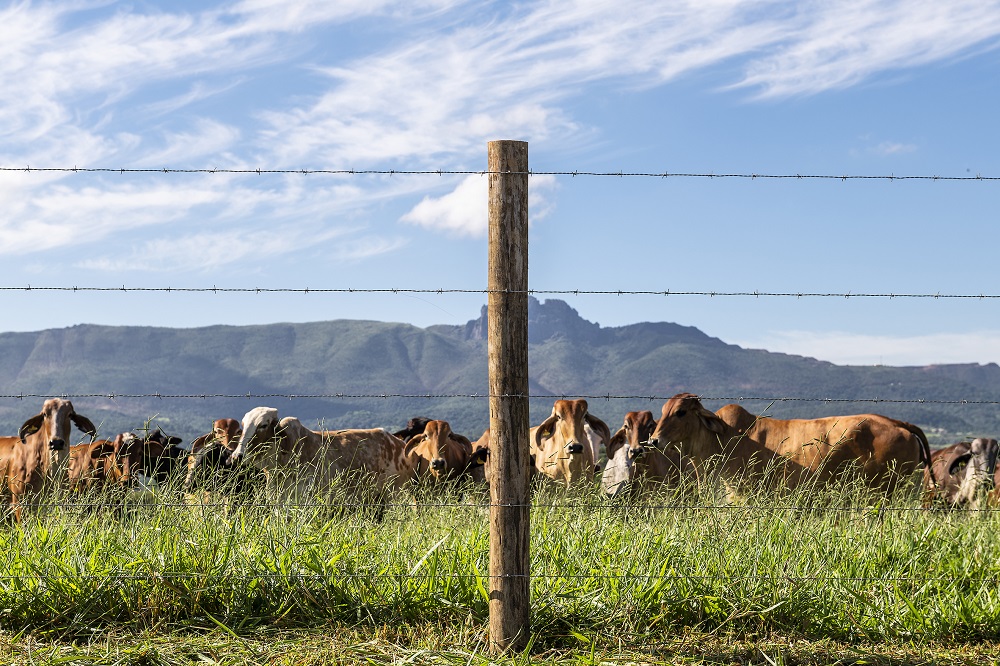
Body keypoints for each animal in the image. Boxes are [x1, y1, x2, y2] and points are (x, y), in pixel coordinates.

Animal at [644, 390, 932, 492]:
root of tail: (897, 423)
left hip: (881, 491)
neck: (722, 439)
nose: (654, 440)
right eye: (662, 412)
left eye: (681, 412)